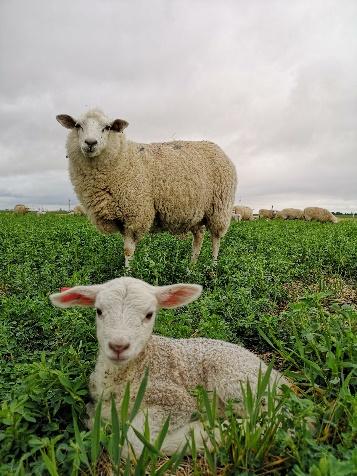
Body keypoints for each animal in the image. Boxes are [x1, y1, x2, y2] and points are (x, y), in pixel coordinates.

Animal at [50, 278, 286, 456]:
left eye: (149, 314)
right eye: (98, 311)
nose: (118, 346)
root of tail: (279, 377)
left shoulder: (175, 400)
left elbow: (135, 441)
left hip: (238, 382)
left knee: (274, 420)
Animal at [56, 109, 236, 268]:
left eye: (107, 127)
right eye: (78, 125)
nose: (90, 143)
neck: (123, 158)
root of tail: (217, 148)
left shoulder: (134, 214)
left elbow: (128, 251)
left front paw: (127, 275)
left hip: (219, 208)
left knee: (216, 239)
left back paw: (212, 268)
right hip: (196, 212)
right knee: (198, 237)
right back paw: (192, 266)